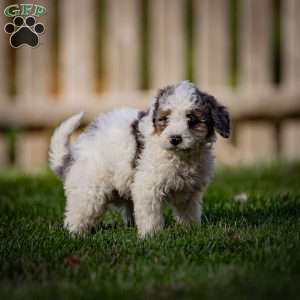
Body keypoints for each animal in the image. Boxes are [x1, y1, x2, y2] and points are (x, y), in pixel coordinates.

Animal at [49, 81, 230, 238]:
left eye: (192, 119)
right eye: (165, 119)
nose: (175, 139)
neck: (180, 156)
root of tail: (73, 154)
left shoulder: (189, 190)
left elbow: (188, 210)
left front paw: (190, 230)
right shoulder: (148, 186)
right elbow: (150, 214)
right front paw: (151, 235)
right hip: (89, 188)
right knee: (78, 213)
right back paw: (76, 234)